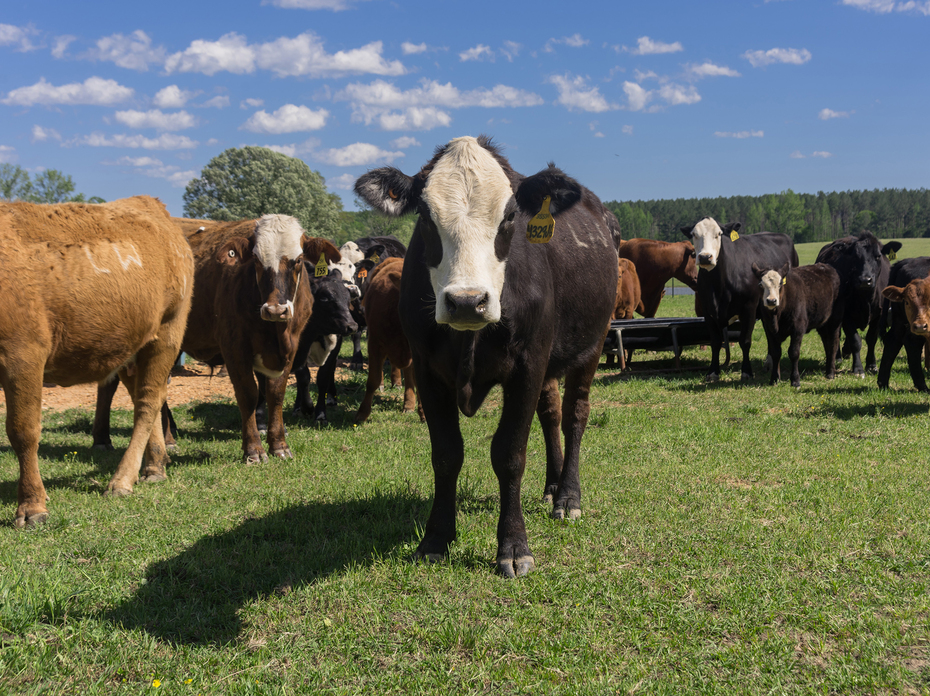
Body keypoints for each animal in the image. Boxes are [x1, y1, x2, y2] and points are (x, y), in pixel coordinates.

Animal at [0, 196, 194, 527]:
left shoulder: (22, 356)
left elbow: (23, 431)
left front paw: (32, 505)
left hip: (167, 333)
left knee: (148, 402)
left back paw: (123, 479)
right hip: (130, 347)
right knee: (145, 397)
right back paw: (154, 464)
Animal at [681, 218, 798, 382]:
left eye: (719, 234)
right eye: (694, 234)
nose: (705, 257)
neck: (718, 284)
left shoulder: (748, 309)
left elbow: (745, 341)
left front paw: (746, 371)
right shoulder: (708, 311)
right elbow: (715, 342)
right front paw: (713, 371)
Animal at [815, 233, 902, 376]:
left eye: (878, 256)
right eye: (854, 257)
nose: (865, 280)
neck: (866, 297)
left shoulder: (878, 315)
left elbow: (871, 339)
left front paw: (871, 365)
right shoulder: (846, 315)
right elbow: (855, 340)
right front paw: (858, 368)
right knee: (837, 335)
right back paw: (838, 357)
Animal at [877, 257, 930, 392]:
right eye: (907, 302)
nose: (920, 326)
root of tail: (907, 261)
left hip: (900, 321)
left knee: (892, 341)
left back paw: (883, 383)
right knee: (912, 342)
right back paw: (923, 386)